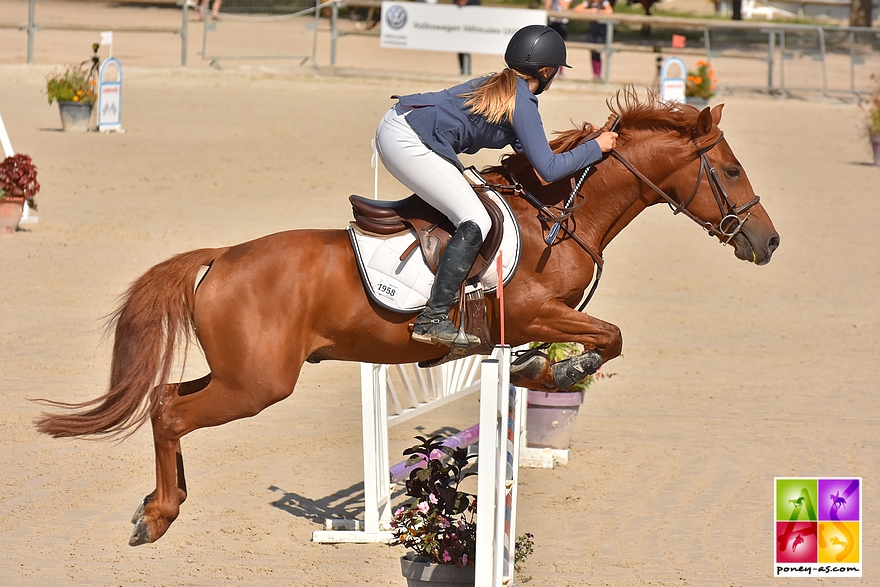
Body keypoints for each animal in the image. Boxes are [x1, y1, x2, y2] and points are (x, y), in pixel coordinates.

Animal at [34, 88, 780, 548]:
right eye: (732, 171)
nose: (768, 242)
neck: (556, 216)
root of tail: (220, 257)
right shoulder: (534, 311)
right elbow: (608, 337)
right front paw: (559, 372)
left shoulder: (539, 318)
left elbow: (592, 340)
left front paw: (542, 372)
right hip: (257, 384)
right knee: (171, 413)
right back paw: (158, 516)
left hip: (241, 375)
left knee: (165, 399)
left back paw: (159, 502)